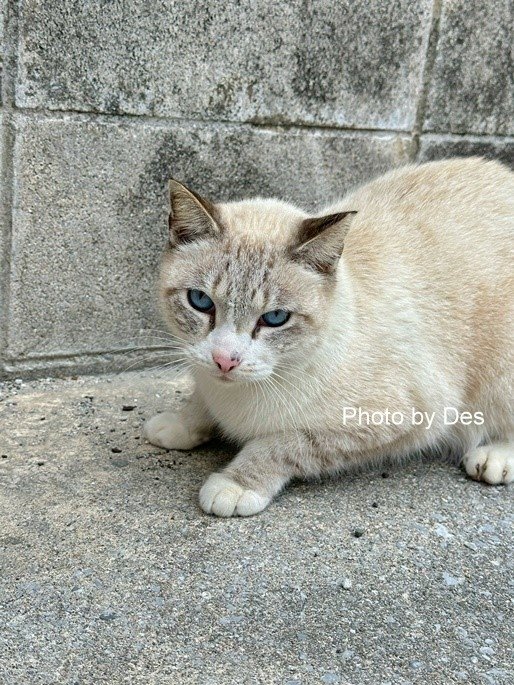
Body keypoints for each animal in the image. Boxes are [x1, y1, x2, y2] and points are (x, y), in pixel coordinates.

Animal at [142, 158, 510, 516]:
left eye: (275, 318)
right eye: (200, 301)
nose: (225, 361)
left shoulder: (393, 420)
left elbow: (280, 444)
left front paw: (236, 484)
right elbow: (199, 403)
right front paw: (179, 425)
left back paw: (495, 457)